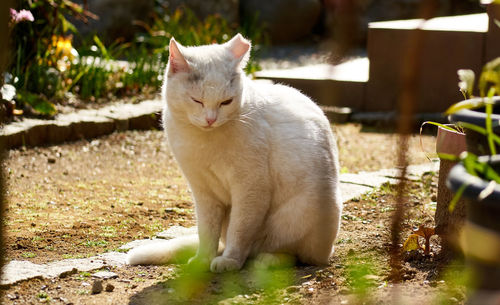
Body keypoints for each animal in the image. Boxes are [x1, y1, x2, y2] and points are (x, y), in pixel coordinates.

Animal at [127, 34, 342, 272]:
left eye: (226, 102)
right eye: (197, 100)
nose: (210, 119)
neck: (204, 142)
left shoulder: (250, 187)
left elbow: (240, 230)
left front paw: (230, 260)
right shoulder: (202, 191)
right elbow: (206, 231)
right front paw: (203, 260)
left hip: (303, 214)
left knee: (296, 254)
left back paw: (266, 260)